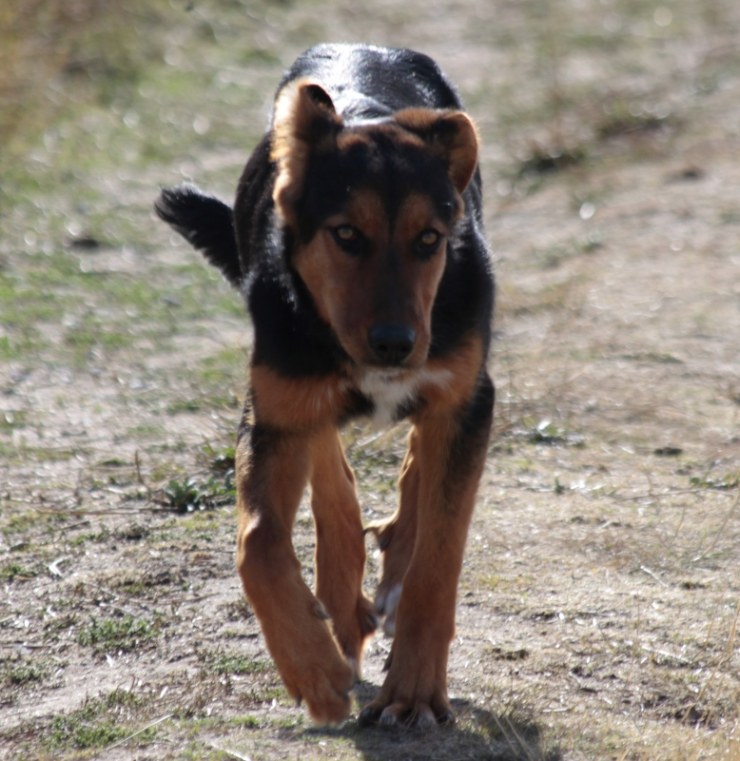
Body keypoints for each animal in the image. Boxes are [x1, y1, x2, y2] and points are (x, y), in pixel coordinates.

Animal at [154, 43, 494, 732]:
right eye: (346, 235)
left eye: (429, 240)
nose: (394, 344)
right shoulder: (277, 412)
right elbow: (259, 543)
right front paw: (314, 671)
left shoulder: (469, 400)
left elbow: (439, 555)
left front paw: (415, 690)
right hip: (299, 395)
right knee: (333, 479)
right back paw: (343, 610)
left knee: (415, 472)